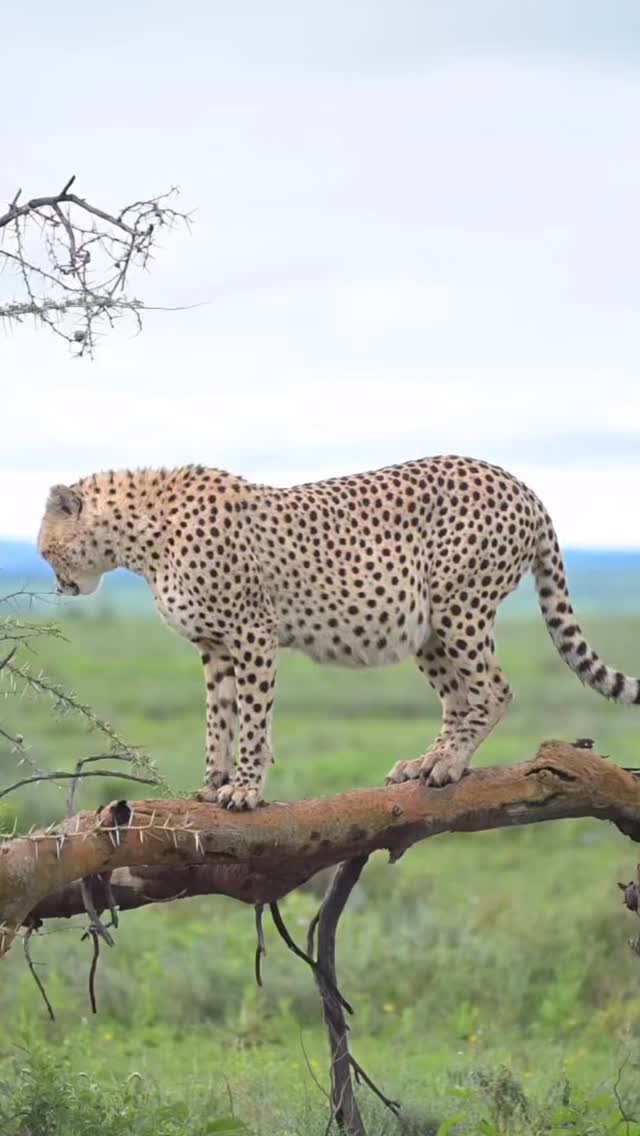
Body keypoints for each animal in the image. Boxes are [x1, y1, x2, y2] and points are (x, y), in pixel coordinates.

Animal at [37, 455, 640, 809]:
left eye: (45, 551)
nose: (61, 586)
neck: (142, 537)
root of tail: (518, 481)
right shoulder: (215, 647)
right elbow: (218, 719)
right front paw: (212, 784)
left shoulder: (252, 633)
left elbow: (253, 720)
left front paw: (246, 788)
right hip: (426, 627)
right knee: (458, 697)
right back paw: (427, 761)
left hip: (458, 607)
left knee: (492, 689)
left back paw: (448, 764)